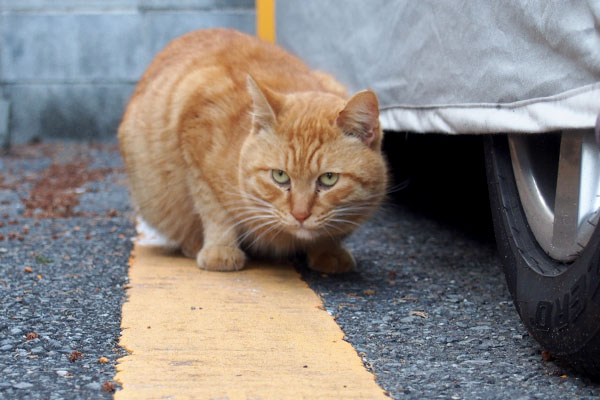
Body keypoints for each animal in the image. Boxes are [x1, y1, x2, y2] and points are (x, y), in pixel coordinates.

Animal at [118, 29, 390, 274]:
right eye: (280, 176)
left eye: (329, 179)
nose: (300, 215)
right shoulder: (195, 133)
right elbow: (214, 210)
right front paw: (221, 250)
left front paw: (328, 251)